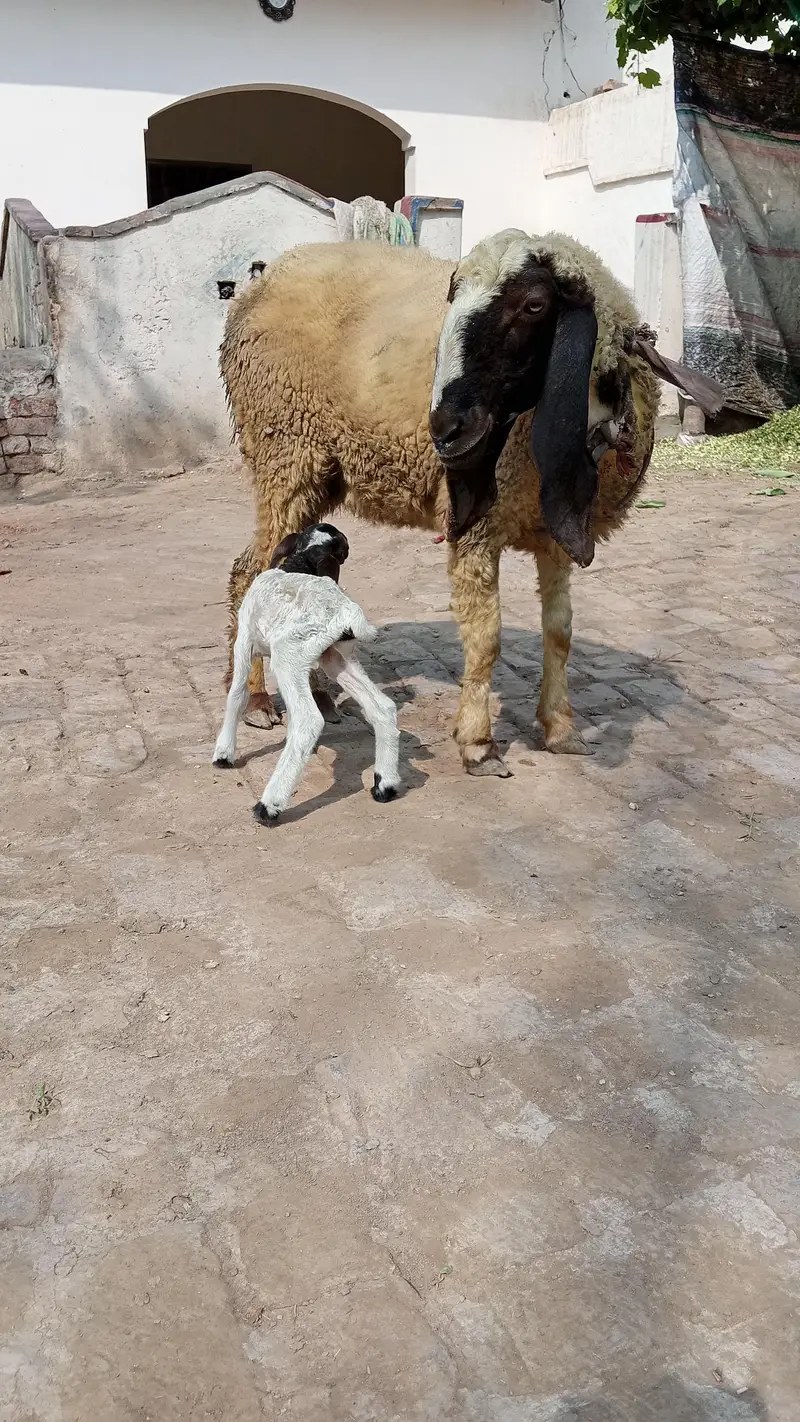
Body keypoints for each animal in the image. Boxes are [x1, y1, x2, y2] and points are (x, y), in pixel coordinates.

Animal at [212, 525, 401, 822]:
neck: (298, 564)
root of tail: (346, 613)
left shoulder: (244, 642)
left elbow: (236, 695)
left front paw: (224, 752)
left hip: (288, 657)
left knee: (308, 721)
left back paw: (269, 805)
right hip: (335, 659)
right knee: (382, 707)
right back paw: (386, 784)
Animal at [219, 230, 694, 778]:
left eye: (534, 305)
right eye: (452, 297)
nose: (444, 429)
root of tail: (258, 283)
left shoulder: (555, 527)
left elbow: (560, 632)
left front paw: (560, 729)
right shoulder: (478, 524)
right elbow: (486, 638)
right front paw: (479, 743)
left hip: (320, 473)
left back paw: (319, 695)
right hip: (284, 449)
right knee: (253, 573)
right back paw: (257, 702)